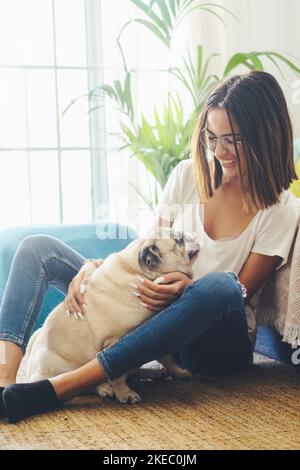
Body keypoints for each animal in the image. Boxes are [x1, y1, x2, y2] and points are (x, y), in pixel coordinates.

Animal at [20, 228, 199, 404]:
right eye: (179, 240)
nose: (190, 234)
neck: (135, 271)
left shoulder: (156, 334)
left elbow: (168, 358)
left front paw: (178, 372)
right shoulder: (115, 341)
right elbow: (118, 374)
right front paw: (125, 393)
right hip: (61, 367)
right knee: (83, 384)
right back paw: (104, 388)